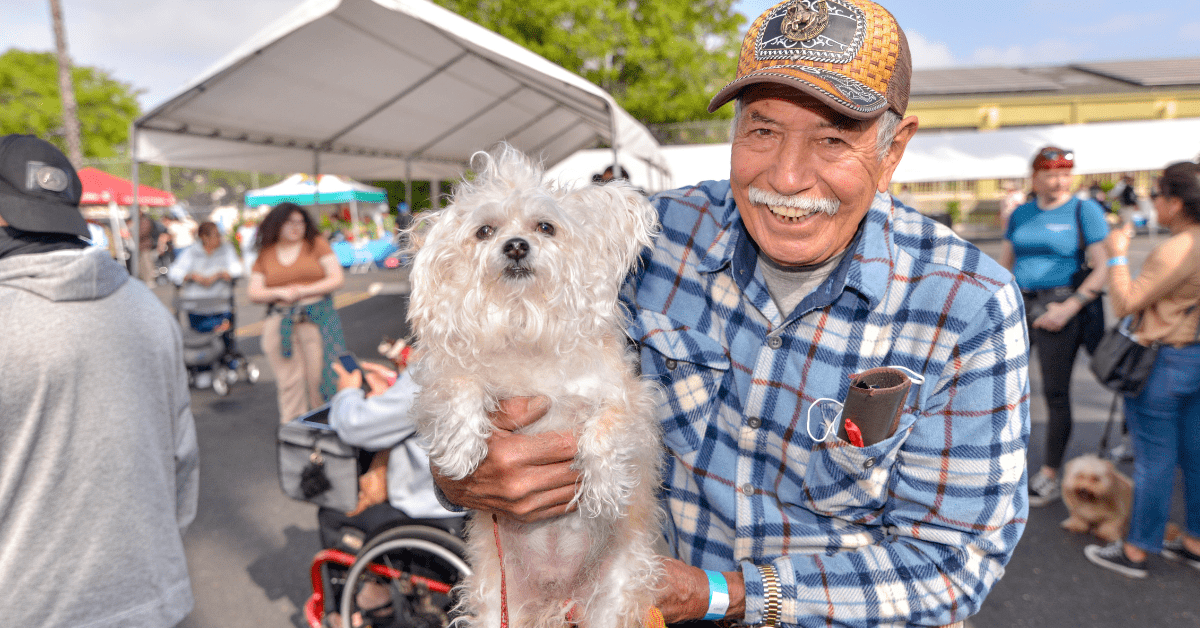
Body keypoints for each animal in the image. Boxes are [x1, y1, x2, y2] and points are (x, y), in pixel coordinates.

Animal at [408, 145, 662, 628]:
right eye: (485, 231)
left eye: (545, 227)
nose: (515, 246)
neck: (524, 317)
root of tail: (554, 602)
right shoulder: (446, 379)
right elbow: (461, 389)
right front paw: (462, 451)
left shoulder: (629, 400)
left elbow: (605, 430)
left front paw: (604, 489)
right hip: (495, 605)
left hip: (612, 599)